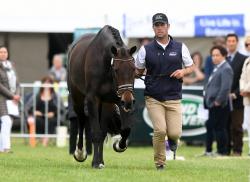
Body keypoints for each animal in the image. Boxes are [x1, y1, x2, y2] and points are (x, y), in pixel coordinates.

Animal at [67, 24, 137, 168]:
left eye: (133, 69)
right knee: (82, 121)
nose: (129, 101)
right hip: (78, 99)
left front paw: (119, 145)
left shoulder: (118, 100)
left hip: (106, 104)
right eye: (116, 70)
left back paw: (101, 160)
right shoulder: (93, 99)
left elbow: (125, 129)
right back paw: (81, 153)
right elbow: (95, 132)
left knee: (103, 130)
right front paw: (94, 162)